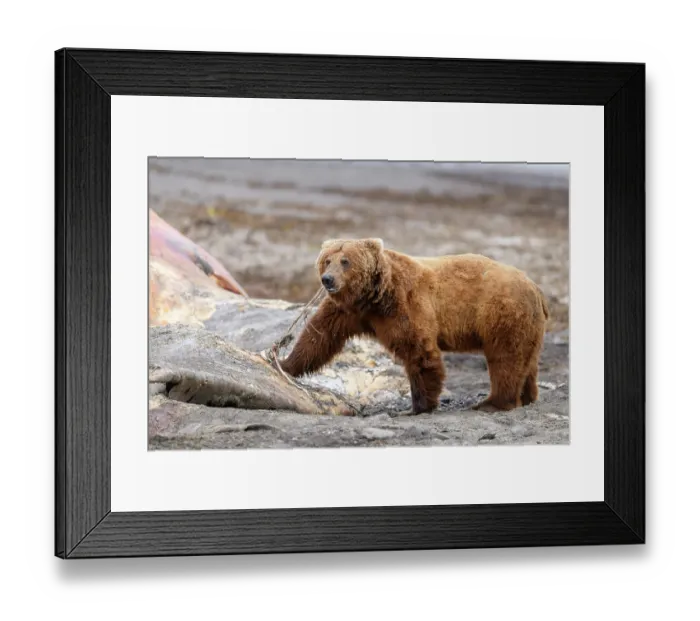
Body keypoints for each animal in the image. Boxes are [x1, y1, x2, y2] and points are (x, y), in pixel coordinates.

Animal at [280, 238, 549, 414]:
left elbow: (418, 351)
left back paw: (492, 403)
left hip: (502, 313)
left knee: (505, 358)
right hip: (528, 324)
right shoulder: (346, 311)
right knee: (526, 360)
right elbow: (318, 337)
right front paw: (285, 364)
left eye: (345, 261)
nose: (328, 279)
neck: (373, 295)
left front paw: (419, 405)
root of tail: (536, 288)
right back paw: (527, 396)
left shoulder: (404, 304)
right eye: (327, 260)